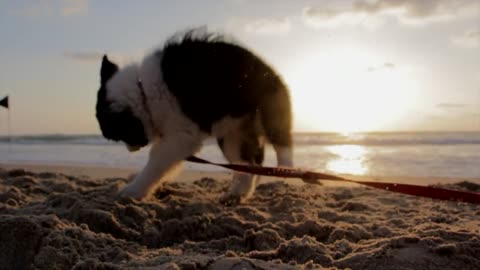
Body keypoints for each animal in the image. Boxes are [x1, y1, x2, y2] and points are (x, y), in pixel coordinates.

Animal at [95, 30, 292, 204]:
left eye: (118, 135)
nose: (130, 150)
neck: (143, 92)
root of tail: (270, 70)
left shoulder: (182, 136)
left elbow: (155, 163)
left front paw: (132, 191)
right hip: (232, 135)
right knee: (249, 166)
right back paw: (236, 195)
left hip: (269, 112)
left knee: (279, 146)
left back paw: (284, 170)